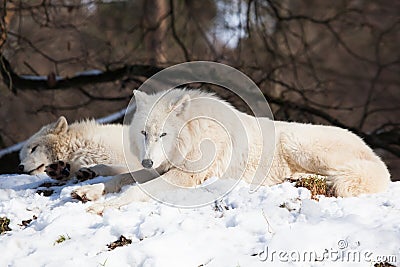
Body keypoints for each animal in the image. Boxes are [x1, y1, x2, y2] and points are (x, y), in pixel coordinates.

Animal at [72, 89, 390, 214]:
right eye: (144, 133)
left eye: (163, 134)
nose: (148, 160)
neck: (195, 136)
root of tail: (372, 152)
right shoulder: (162, 167)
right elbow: (122, 178)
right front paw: (89, 190)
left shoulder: (184, 176)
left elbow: (136, 190)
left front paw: (101, 207)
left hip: (298, 144)